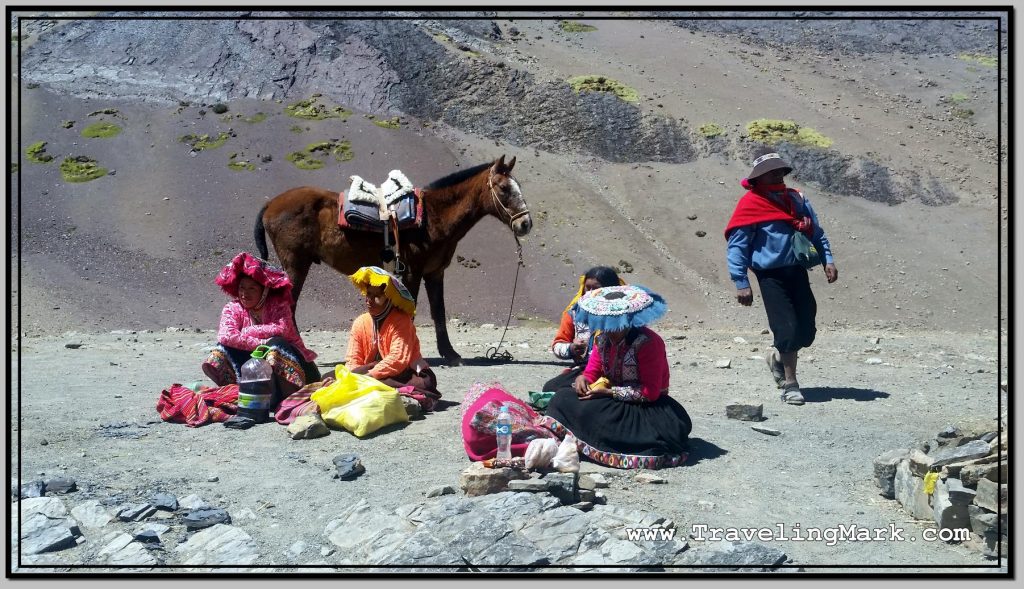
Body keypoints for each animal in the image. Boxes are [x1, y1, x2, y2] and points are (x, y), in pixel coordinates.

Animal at [256, 158, 532, 366]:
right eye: (504, 188)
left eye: (518, 185)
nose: (525, 224)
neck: (433, 217)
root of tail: (270, 203)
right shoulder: (412, 272)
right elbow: (410, 311)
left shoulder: (434, 273)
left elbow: (439, 312)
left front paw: (450, 354)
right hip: (296, 264)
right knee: (288, 306)